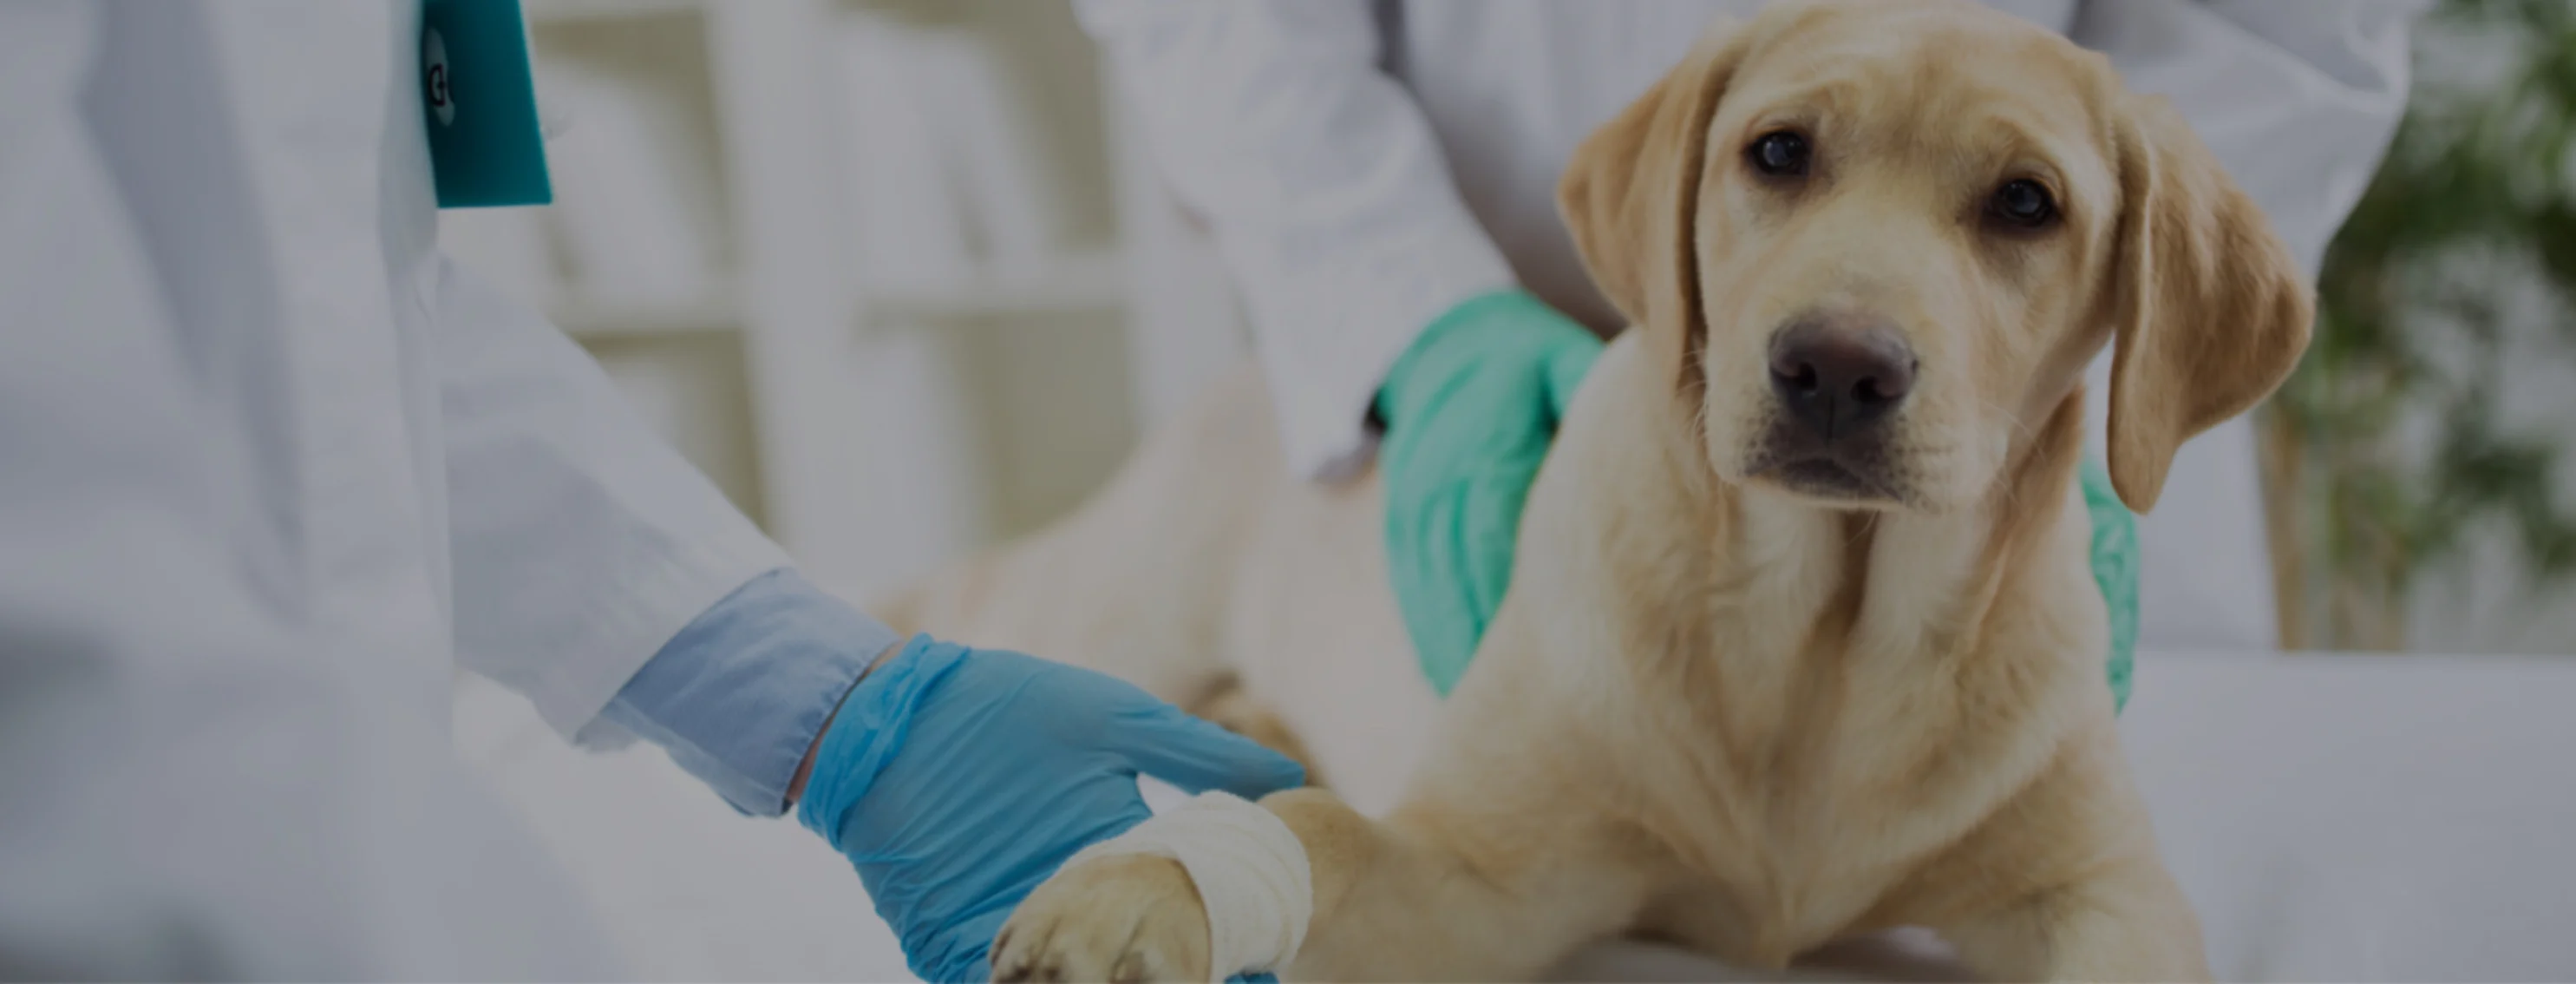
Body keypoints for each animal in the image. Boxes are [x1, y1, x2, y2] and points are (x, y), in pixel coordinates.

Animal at [896, 2, 2308, 979]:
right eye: (1777, 152)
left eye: (2027, 202)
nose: (1834, 367)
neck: (1825, 638)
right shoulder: (1470, 874)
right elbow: (1321, 828)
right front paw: (1144, 888)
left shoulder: (2102, 888)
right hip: (1108, 608)